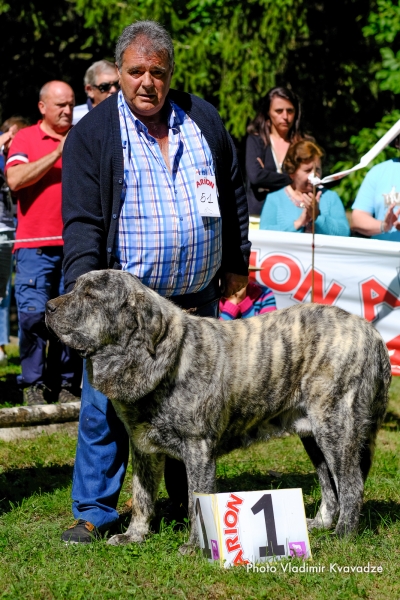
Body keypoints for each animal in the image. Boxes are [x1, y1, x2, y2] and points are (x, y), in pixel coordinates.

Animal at [44, 270, 390, 552]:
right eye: (75, 288)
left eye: (90, 296)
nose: (48, 307)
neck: (152, 358)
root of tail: (372, 333)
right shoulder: (143, 447)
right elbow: (142, 496)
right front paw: (134, 536)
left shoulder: (198, 447)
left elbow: (196, 501)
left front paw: (194, 546)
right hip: (312, 435)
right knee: (329, 481)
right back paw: (320, 524)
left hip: (335, 427)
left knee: (351, 483)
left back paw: (343, 534)